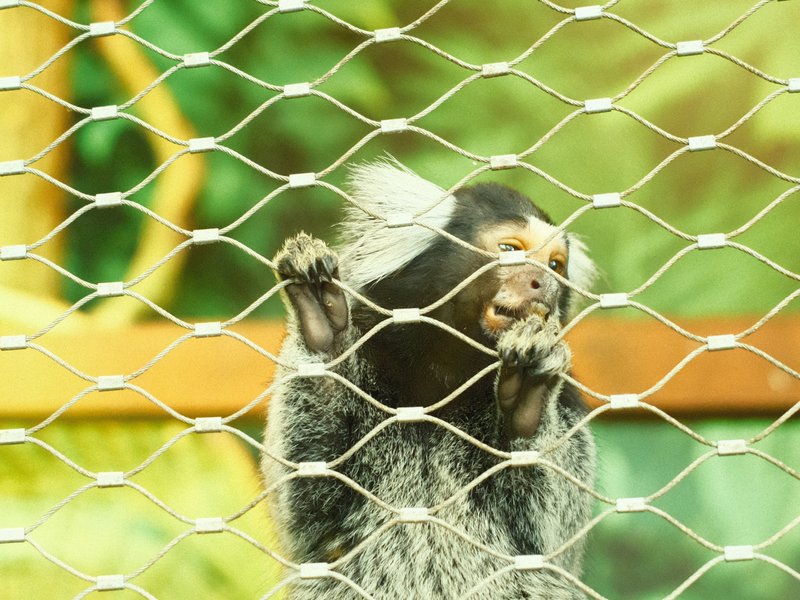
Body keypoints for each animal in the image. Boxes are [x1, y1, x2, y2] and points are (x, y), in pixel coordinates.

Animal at [262, 159, 596, 599]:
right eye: (509, 250)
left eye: (556, 265)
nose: (546, 285)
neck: (443, 374)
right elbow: (309, 505)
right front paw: (324, 327)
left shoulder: (570, 400)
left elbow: (547, 538)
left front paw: (528, 401)